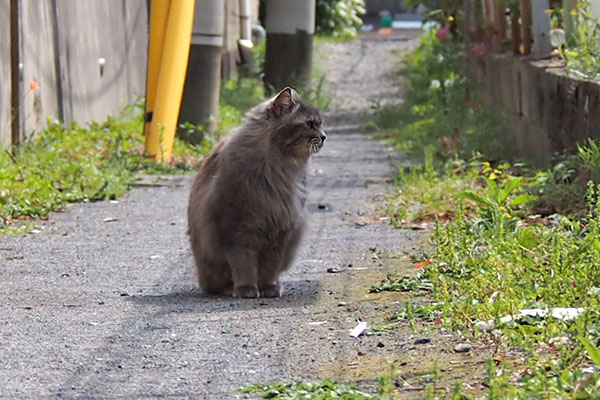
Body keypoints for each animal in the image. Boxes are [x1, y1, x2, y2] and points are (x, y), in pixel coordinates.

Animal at [188, 88, 328, 300]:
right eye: (311, 123)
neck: (277, 171)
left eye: (320, 124)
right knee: (214, 285)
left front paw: (269, 288)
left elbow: (269, 269)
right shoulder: (237, 228)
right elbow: (243, 264)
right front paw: (246, 289)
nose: (324, 136)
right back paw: (229, 289)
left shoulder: (280, 230)